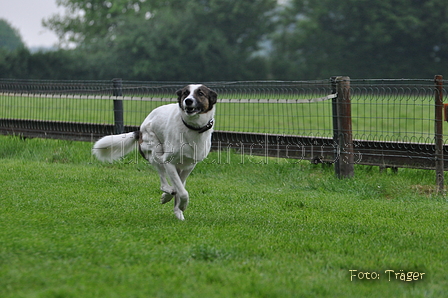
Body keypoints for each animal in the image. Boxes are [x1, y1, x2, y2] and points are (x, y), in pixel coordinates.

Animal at [93, 85, 217, 220]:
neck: (192, 128)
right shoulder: (168, 162)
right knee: (163, 183)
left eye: (200, 93)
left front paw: (179, 209)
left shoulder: (189, 166)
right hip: (155, 152)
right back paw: (168, 194)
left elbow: (180, 188)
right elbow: (183, 192)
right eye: (185, 93)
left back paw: (175, 207)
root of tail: (140, 130)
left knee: (176, 185)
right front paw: (182, 205)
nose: (188, 101)